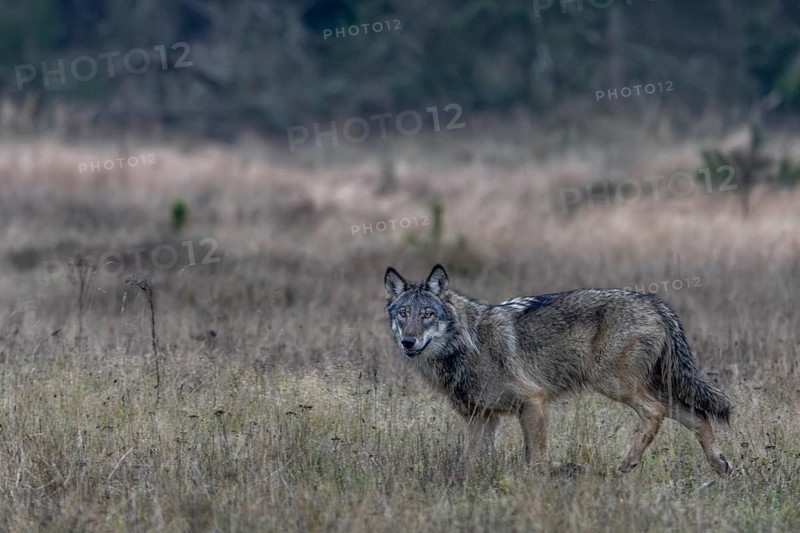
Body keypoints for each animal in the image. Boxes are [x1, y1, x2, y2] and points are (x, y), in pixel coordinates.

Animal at [384, 264, 732, 478]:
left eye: (427, 314)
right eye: (403, 314)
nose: (408, 341)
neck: (466, 344)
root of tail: (655, 302)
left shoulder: (533, 401)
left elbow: (536, 461)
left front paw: (555, 478)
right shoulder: (480, 417)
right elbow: (470, 462)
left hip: (613, 384)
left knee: (655, 411)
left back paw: (628, 462)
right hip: (656, 387)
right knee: (699, 417)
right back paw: (721, 466)